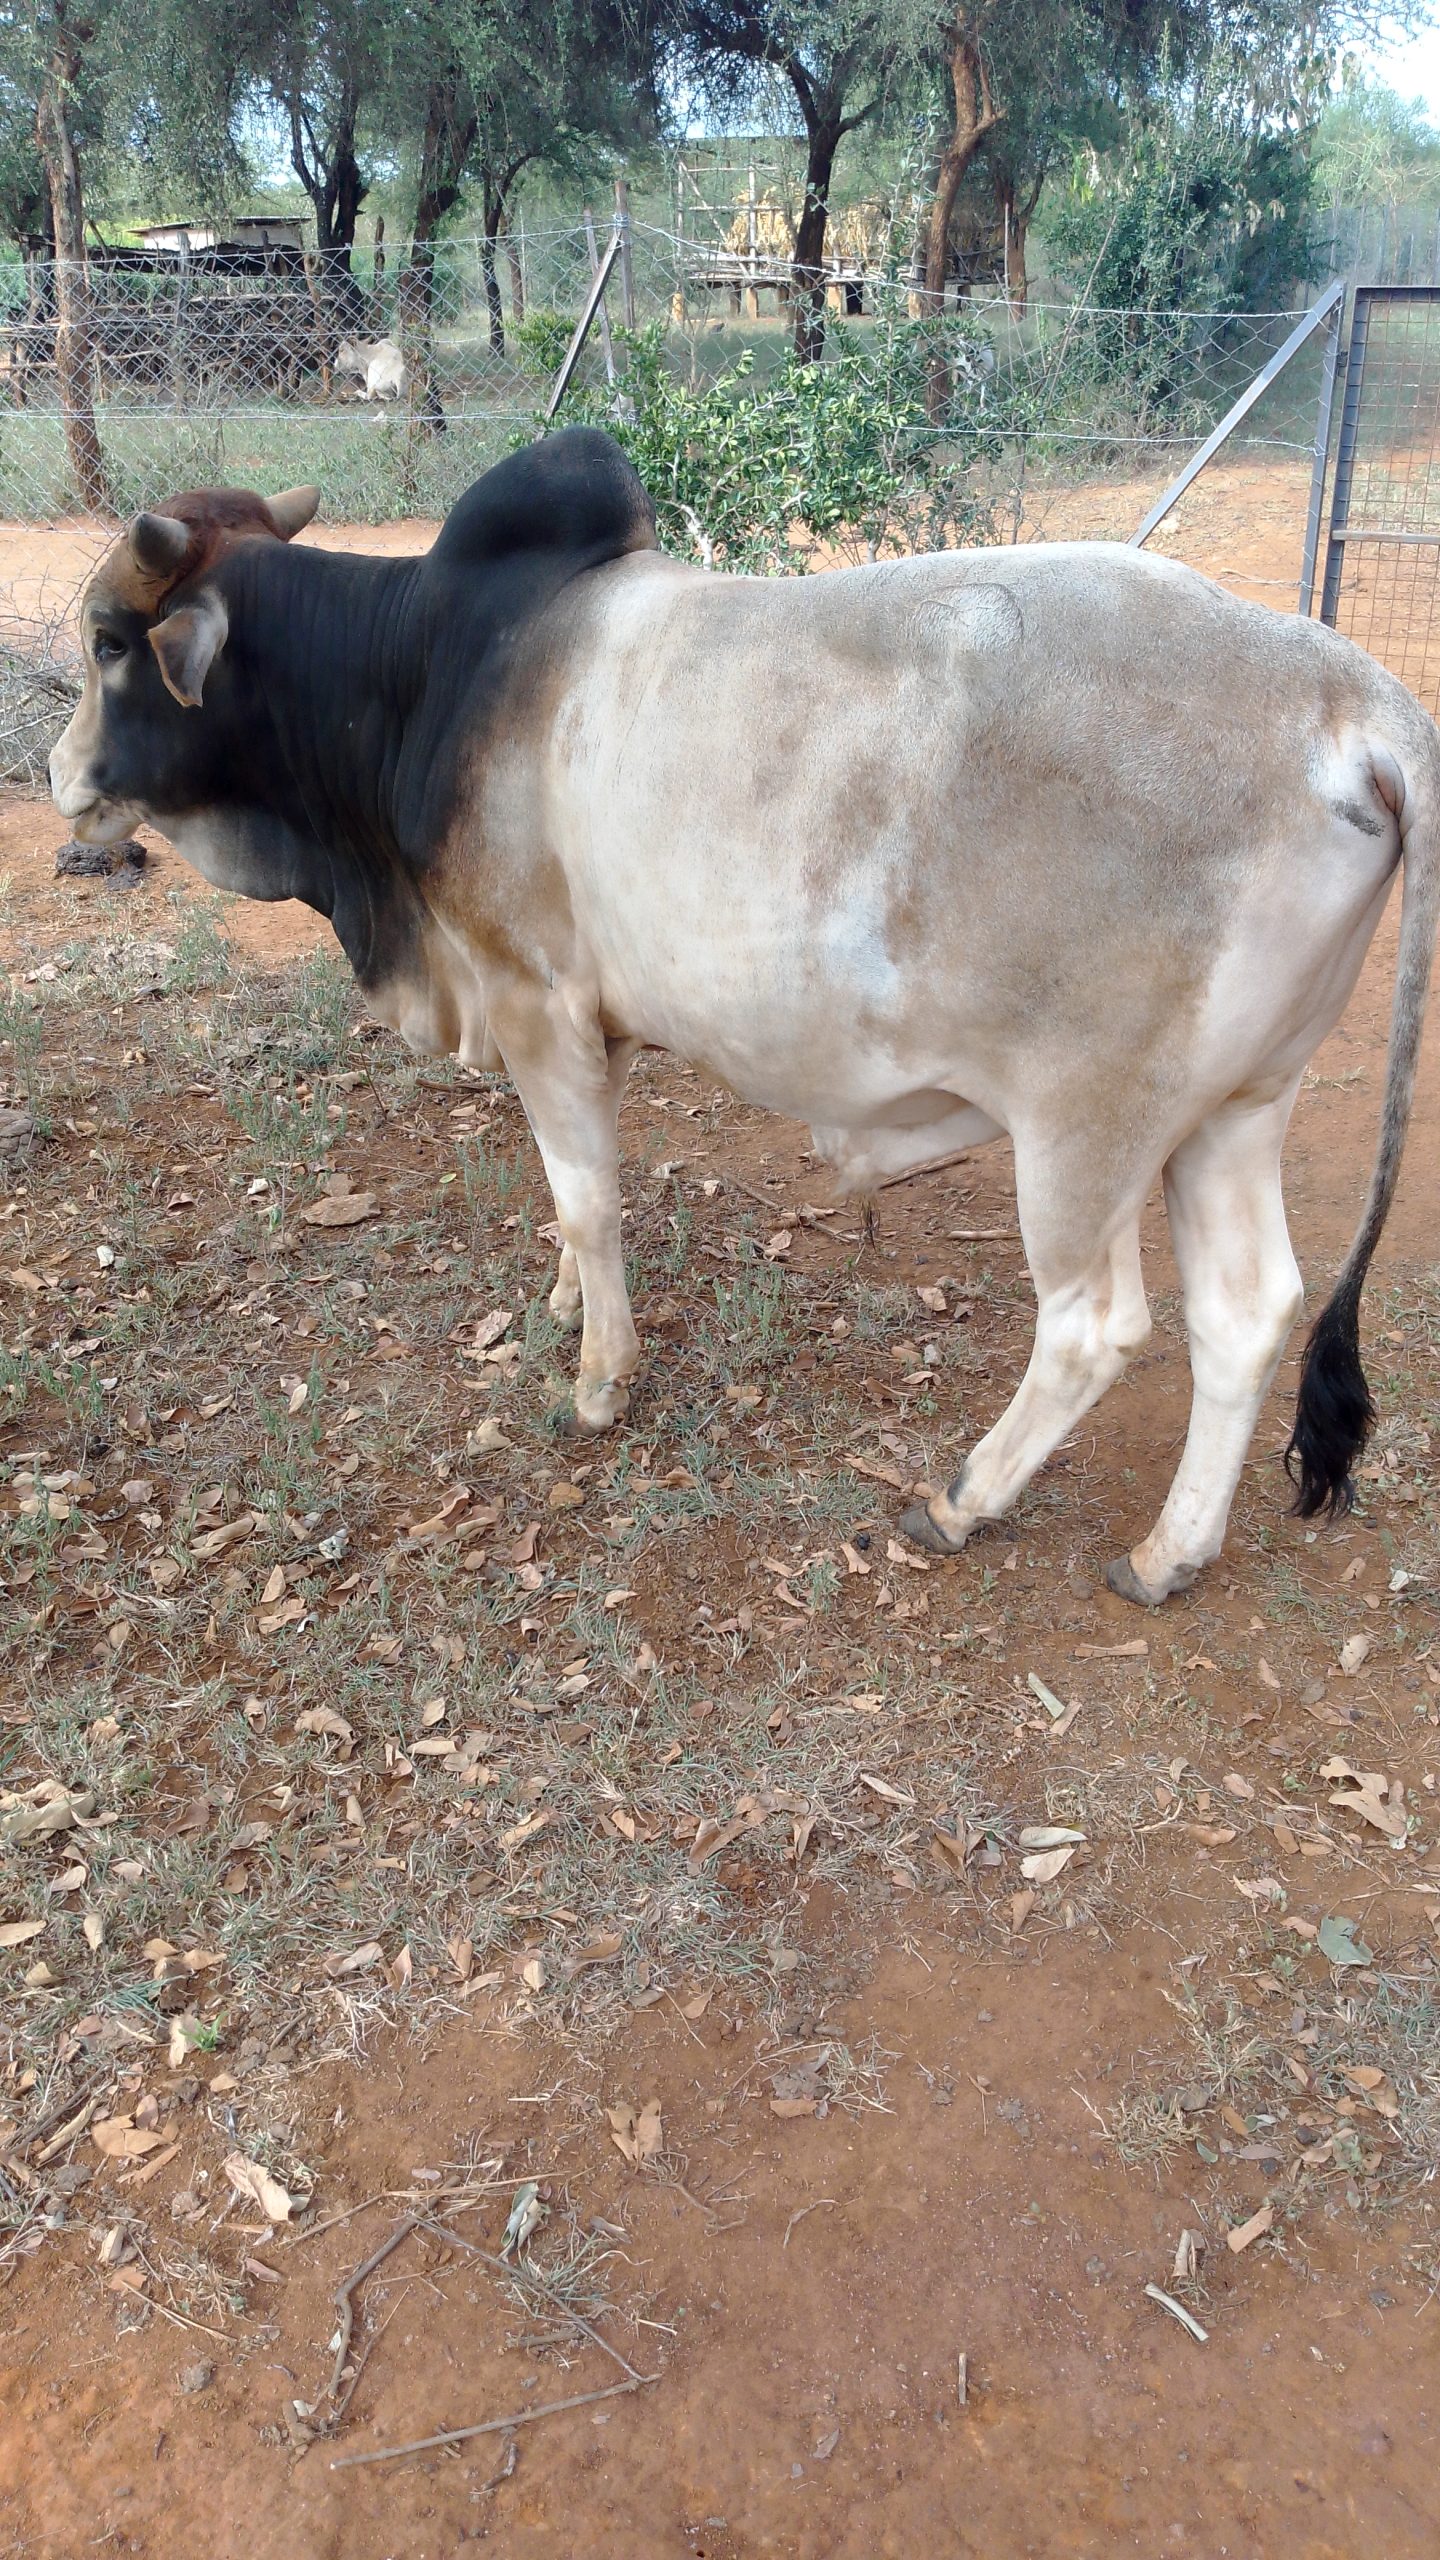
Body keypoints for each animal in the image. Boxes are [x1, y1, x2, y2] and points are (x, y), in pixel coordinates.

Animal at [47, 429, 1440, 1606]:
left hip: (1085, 1129)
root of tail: (1352, 699)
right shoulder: (582, 1024)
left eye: (112, 641)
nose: (58, 774)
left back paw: (964, 1498)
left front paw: (599, 1380)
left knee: (1098, 1327)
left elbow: (587, 1197)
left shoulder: (533, 996)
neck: (426, 672)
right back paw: (1168, 1552)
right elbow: (569, 1191)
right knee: (1246, 1316)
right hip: (1235, 1109)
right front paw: (565, 1306)